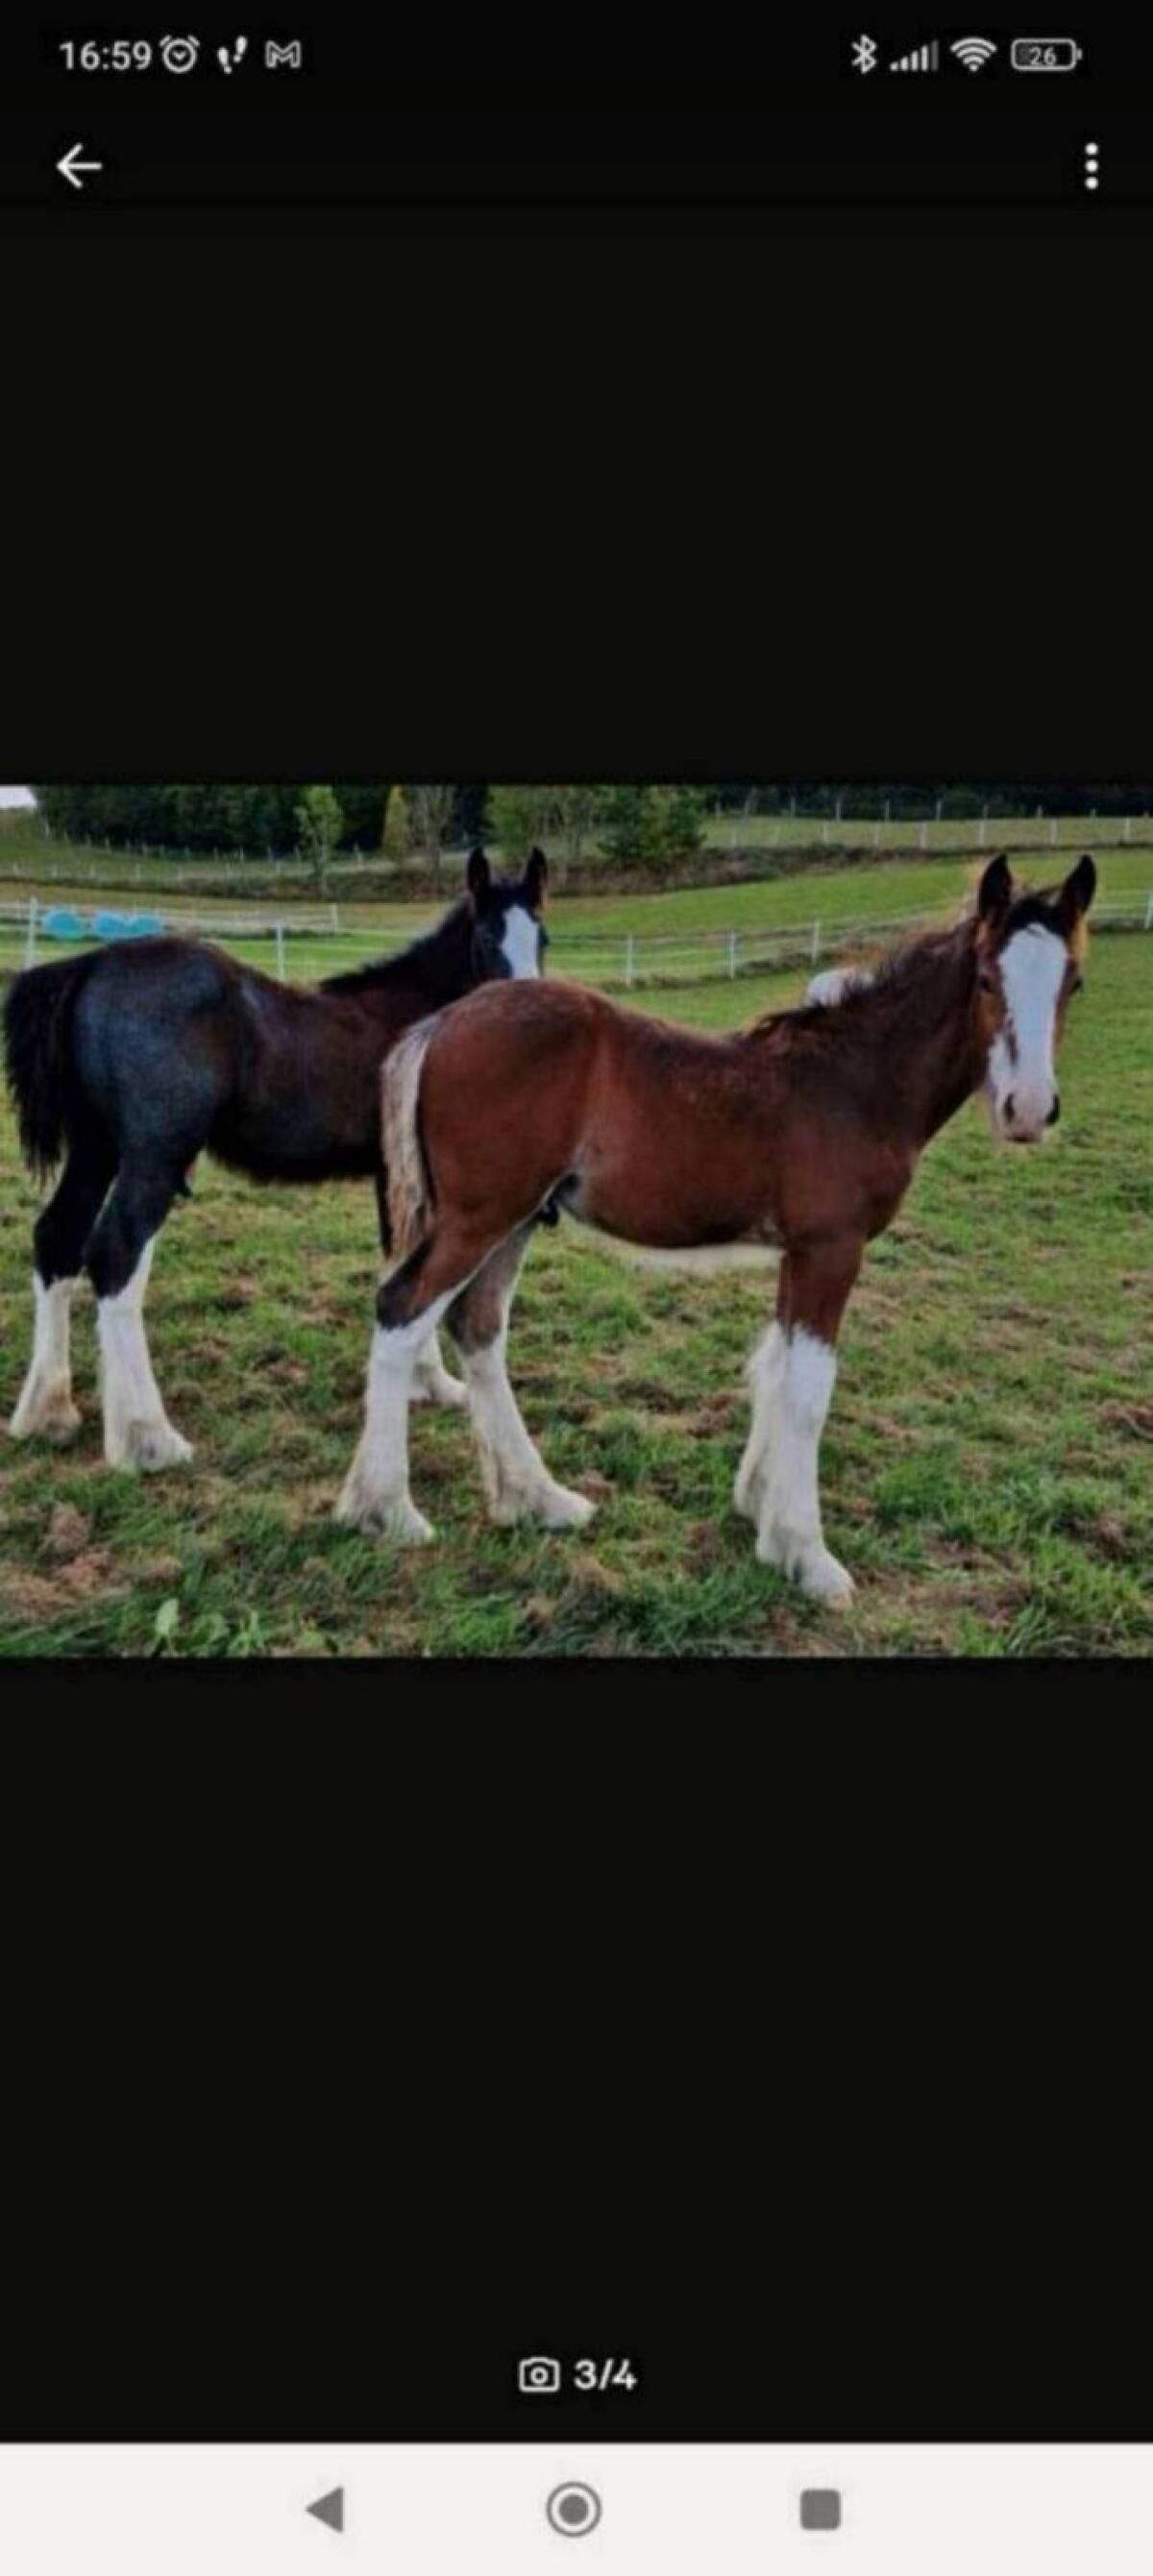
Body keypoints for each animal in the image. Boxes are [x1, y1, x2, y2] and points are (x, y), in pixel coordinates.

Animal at [4, 847, 548, 1471]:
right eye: (486, 936)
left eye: (543, 937)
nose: (529, 1017)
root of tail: (92, 965)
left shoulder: (394, 1177)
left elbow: (401, 1262)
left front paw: (429, 1384)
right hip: (153, 1158)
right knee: (116, 1255)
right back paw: (149, 1438)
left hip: (96, 1149)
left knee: (58, 1239)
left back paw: (47, 1413)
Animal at [334, 853, 1096, 1603]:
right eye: (987, 979)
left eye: (1074, 982)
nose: (1028, 1109)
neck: (856, 1081)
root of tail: (438, 1024)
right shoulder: (831, 1248)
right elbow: (809, 1389)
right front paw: (809, 1555)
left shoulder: (799, 1251)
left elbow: (777, 1366)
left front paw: (761, 1513)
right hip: (480, 1215)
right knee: (402, 1310)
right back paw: (388, 1510)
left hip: (516, 1217)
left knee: (478, 1324)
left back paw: (538, 1499)